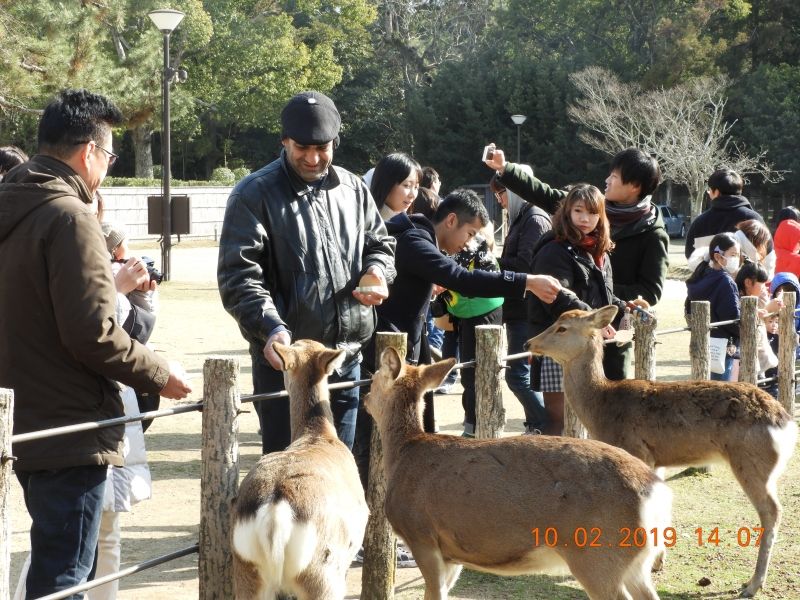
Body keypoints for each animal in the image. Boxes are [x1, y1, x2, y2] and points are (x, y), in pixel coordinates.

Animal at [368, 346, 676, 600]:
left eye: (373, 379)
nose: (366, 397)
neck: (404, 453)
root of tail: (658, 492)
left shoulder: (420, 534)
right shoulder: (453, 553)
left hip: (597, 554)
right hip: (634, 562)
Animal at [528, 308, 796, 596]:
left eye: (562, 328)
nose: (529, 343)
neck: (600, 409)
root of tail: (786, 423)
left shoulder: (635, 448)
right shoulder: (656, 460)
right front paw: (657, 562)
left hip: (750, 460)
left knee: (771, 511)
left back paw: (752, 584)